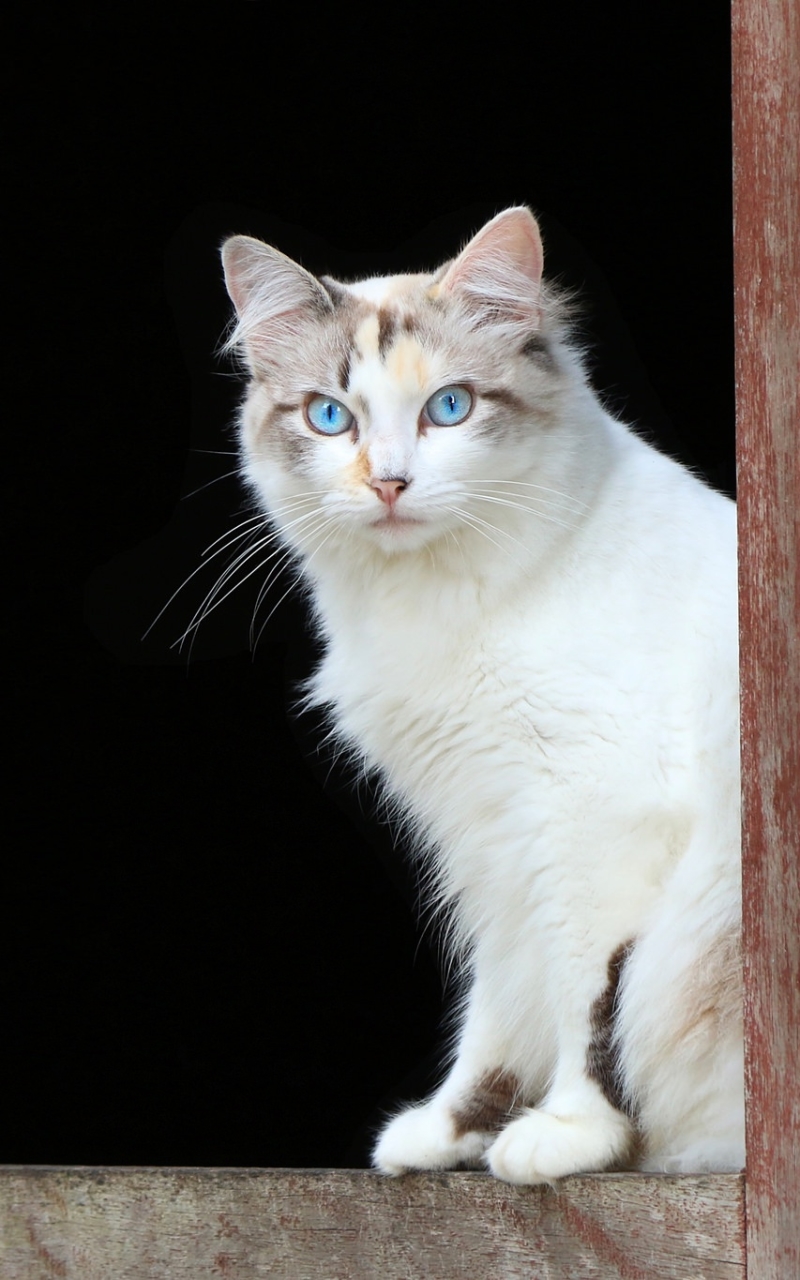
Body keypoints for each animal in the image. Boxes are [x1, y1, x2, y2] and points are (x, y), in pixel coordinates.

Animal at [216, 207, 742, 1177]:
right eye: (330, 417)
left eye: (448, 408)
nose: (389, 482)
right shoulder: (489, 836)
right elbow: (499, 1007)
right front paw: (451, 1131)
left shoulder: (593, 821)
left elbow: (588, 999)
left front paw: (569, 1134)